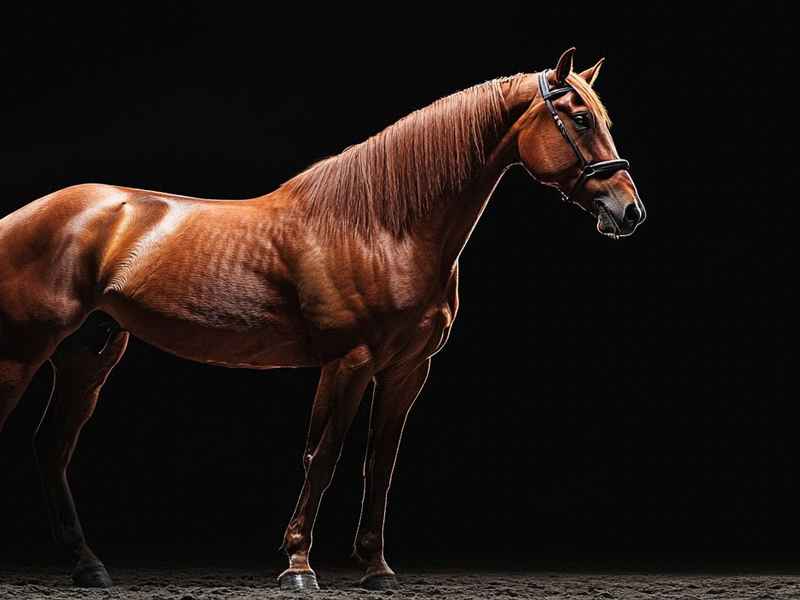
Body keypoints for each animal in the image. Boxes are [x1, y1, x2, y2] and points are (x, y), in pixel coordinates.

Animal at [0, 48, 645, 591]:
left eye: (601, 117)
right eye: (580, 119)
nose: (629, 210)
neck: (381, 227)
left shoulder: (407, 370)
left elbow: (379, 463)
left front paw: (377, 568)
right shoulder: (348, 362)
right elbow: (324, 455)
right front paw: (298, 566)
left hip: (88, 356)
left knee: (52, 446)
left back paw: (88, 565)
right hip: (22, 354)